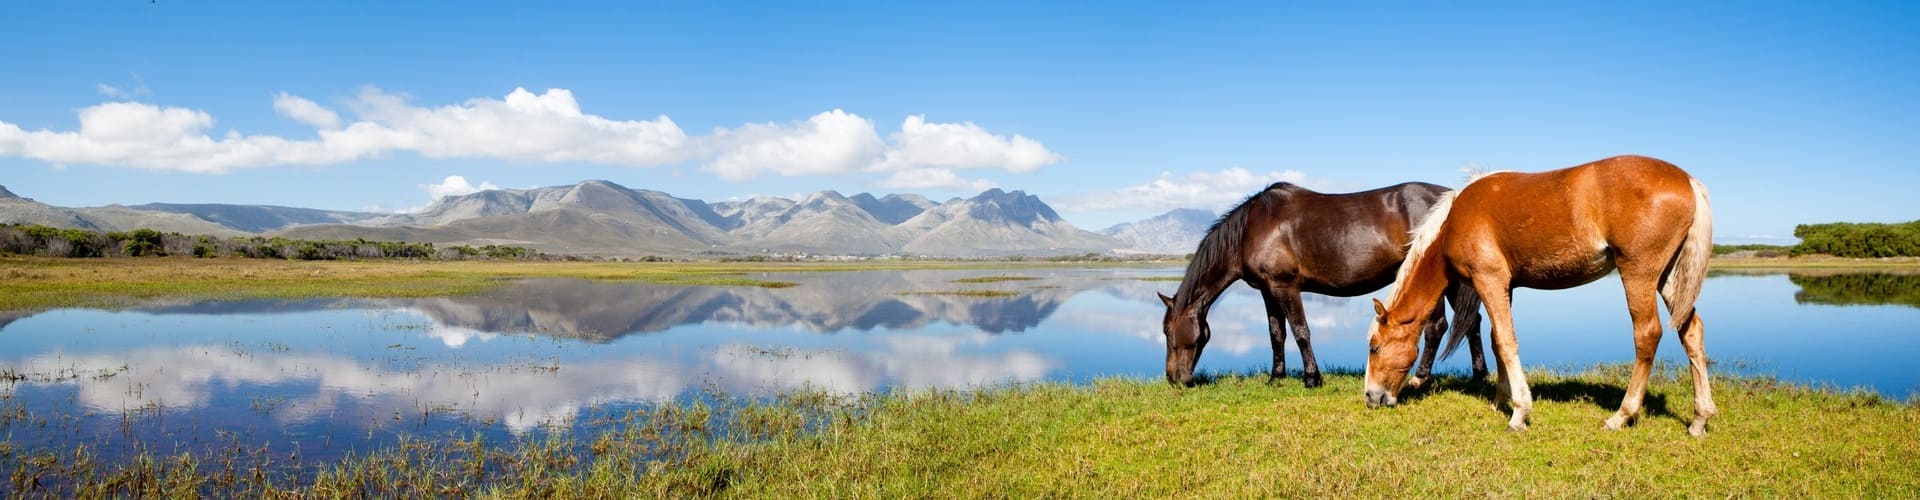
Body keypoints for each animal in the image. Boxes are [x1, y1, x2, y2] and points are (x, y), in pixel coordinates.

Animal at [1152, 181, 1482, 388]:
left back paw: (1420, 377)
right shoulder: (1268, 291)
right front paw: (1276, 377)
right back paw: (1479, 376)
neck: (1251, 229)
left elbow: (1300, 332)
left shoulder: (1285, 286)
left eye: (1167, 331)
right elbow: (1276, 334)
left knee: (1436, 327)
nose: (1172, 378)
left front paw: (1312, 378)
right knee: (1472, 322)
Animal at [1359, 153, 1720, 434]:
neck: (1456, 219)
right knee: (1691, 332)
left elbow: (1506, 341)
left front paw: (1519, 412)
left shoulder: (1488, 280)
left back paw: (1621, 416)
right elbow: (1496, 340)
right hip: (1670, 278)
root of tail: (1688, 181)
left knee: (1647, 334)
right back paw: (1699, 420)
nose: (1370, 397)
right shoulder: (1505, 286)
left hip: (1638, 273)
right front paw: (1500, 401)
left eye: (1375, 347)